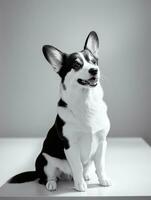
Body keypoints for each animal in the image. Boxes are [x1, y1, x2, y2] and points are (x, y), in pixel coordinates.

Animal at [8, 31, 111, 192]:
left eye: (94, 62)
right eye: (76, 65)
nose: (94, 70)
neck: (86, 102)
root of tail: (65, 176)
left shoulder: (101, 142)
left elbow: (100, 165)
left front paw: (102, 180)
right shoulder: (71, 145)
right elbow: (77, 166)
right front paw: (80, 185)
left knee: (85, 168)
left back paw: (86, 177)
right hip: (45, 160)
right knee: (47, 177)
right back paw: (52, 184)